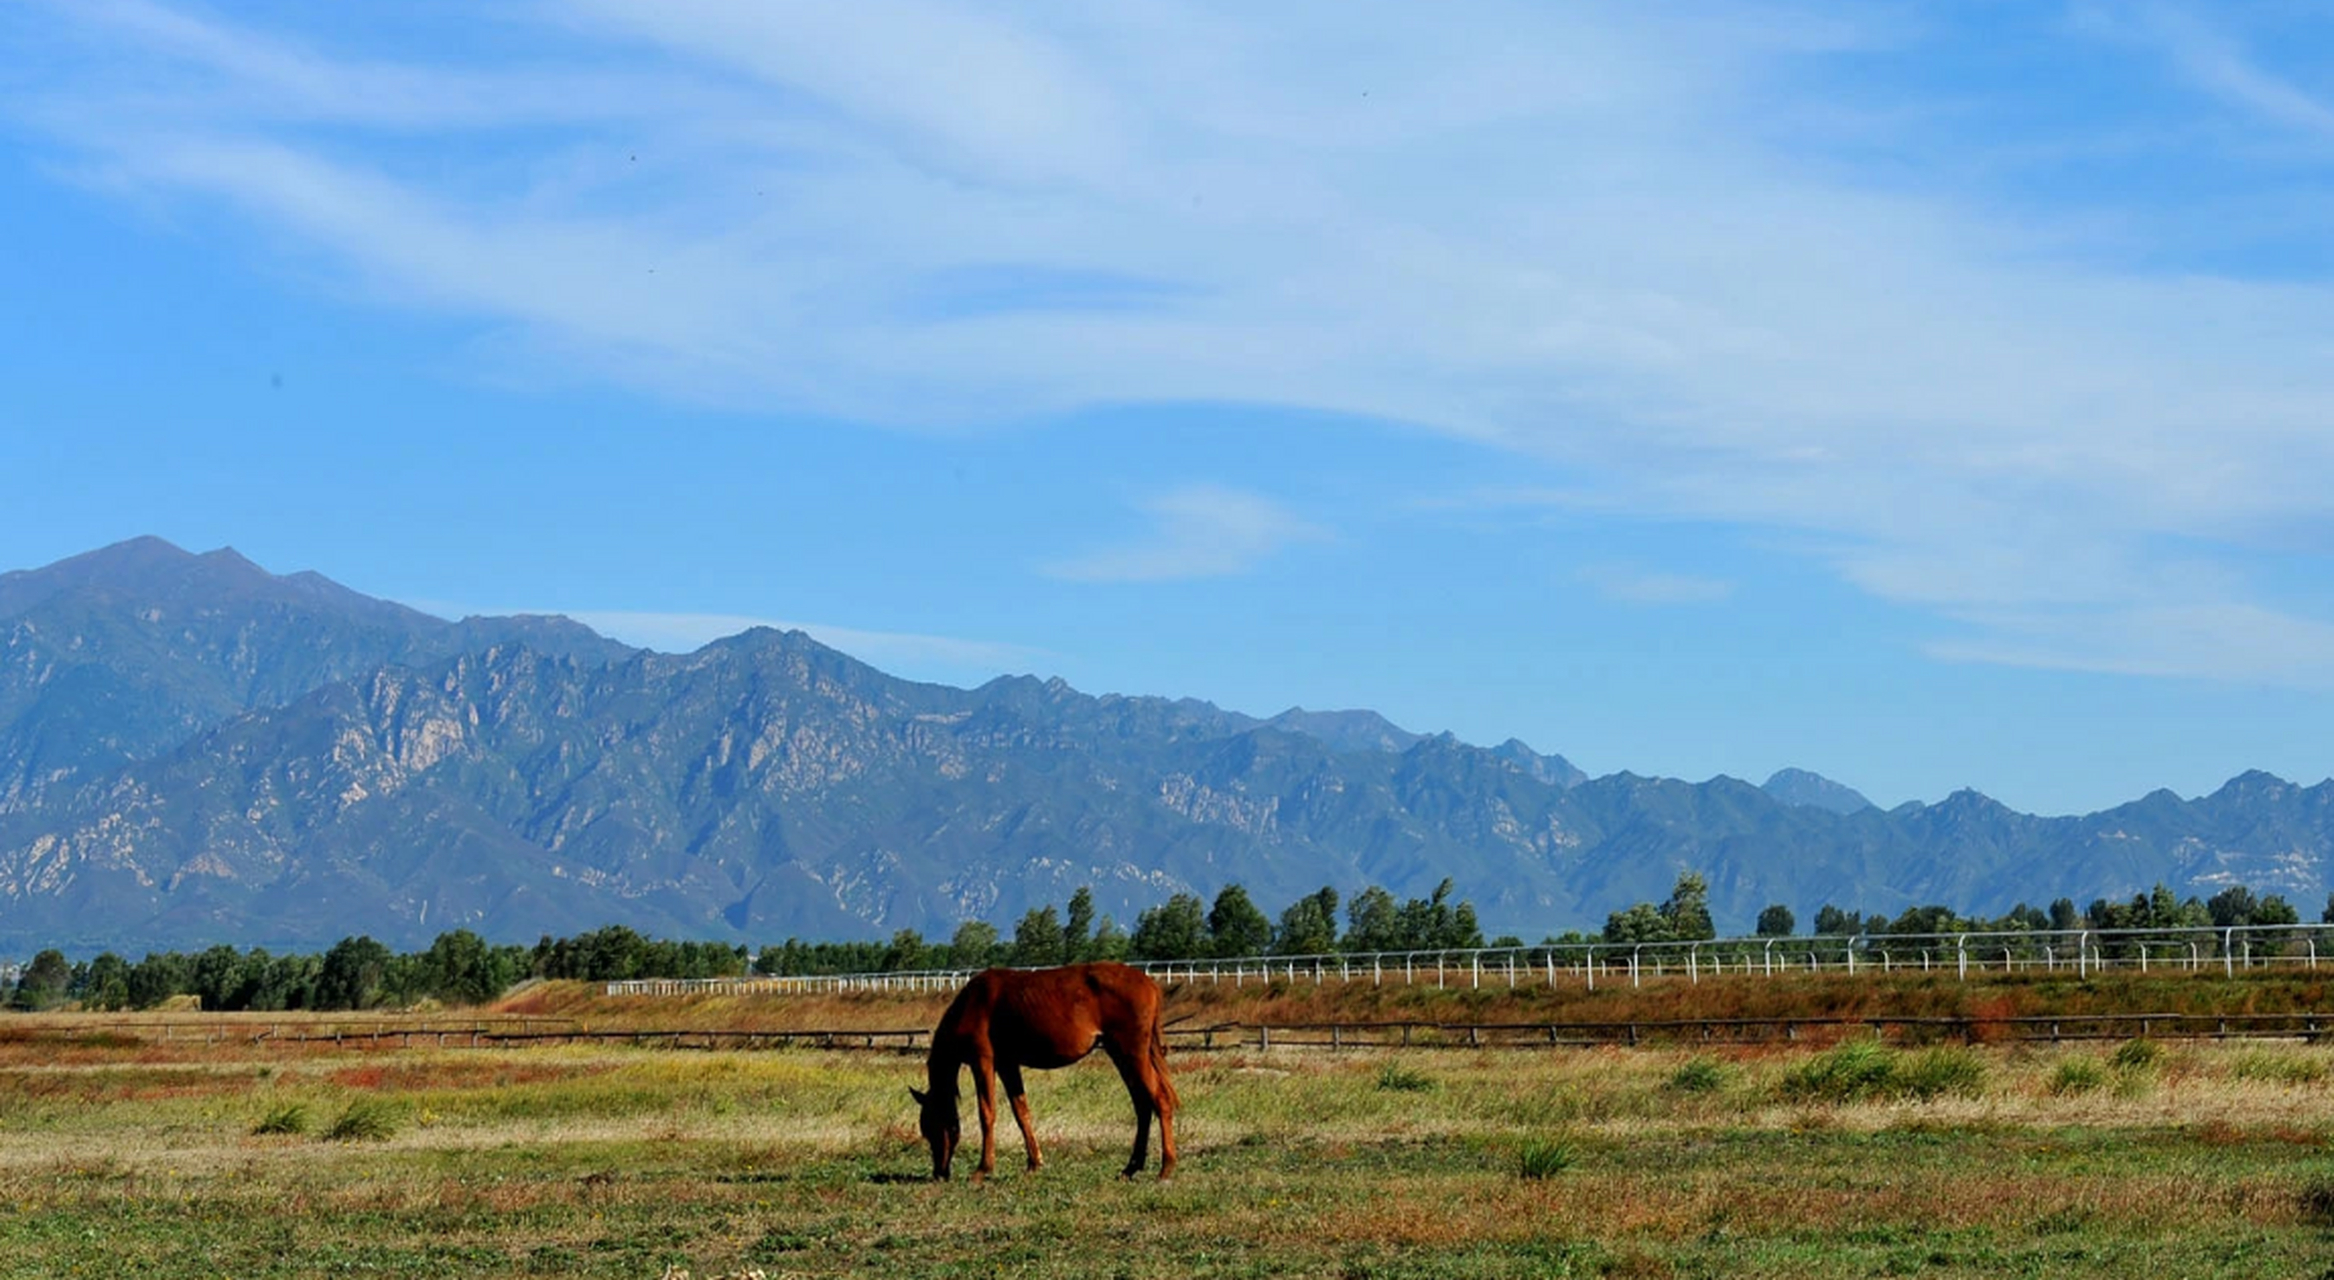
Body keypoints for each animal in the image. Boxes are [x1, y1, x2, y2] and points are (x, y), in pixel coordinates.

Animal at [905, 962, 1176, 1181]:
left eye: (932, 1126)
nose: (939, 1173)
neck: (972, 1004)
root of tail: (1150, 984)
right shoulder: (1007, 1064)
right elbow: (1021, 1111)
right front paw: (1034, 1163)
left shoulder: (983, 1060)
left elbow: (987, 1113)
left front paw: (983, 1169)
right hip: (1120, 1053)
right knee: (1143, 1105)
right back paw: (1131, 1168)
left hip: (1132, 1053)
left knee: (1160, 1100)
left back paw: (1166, 1168)